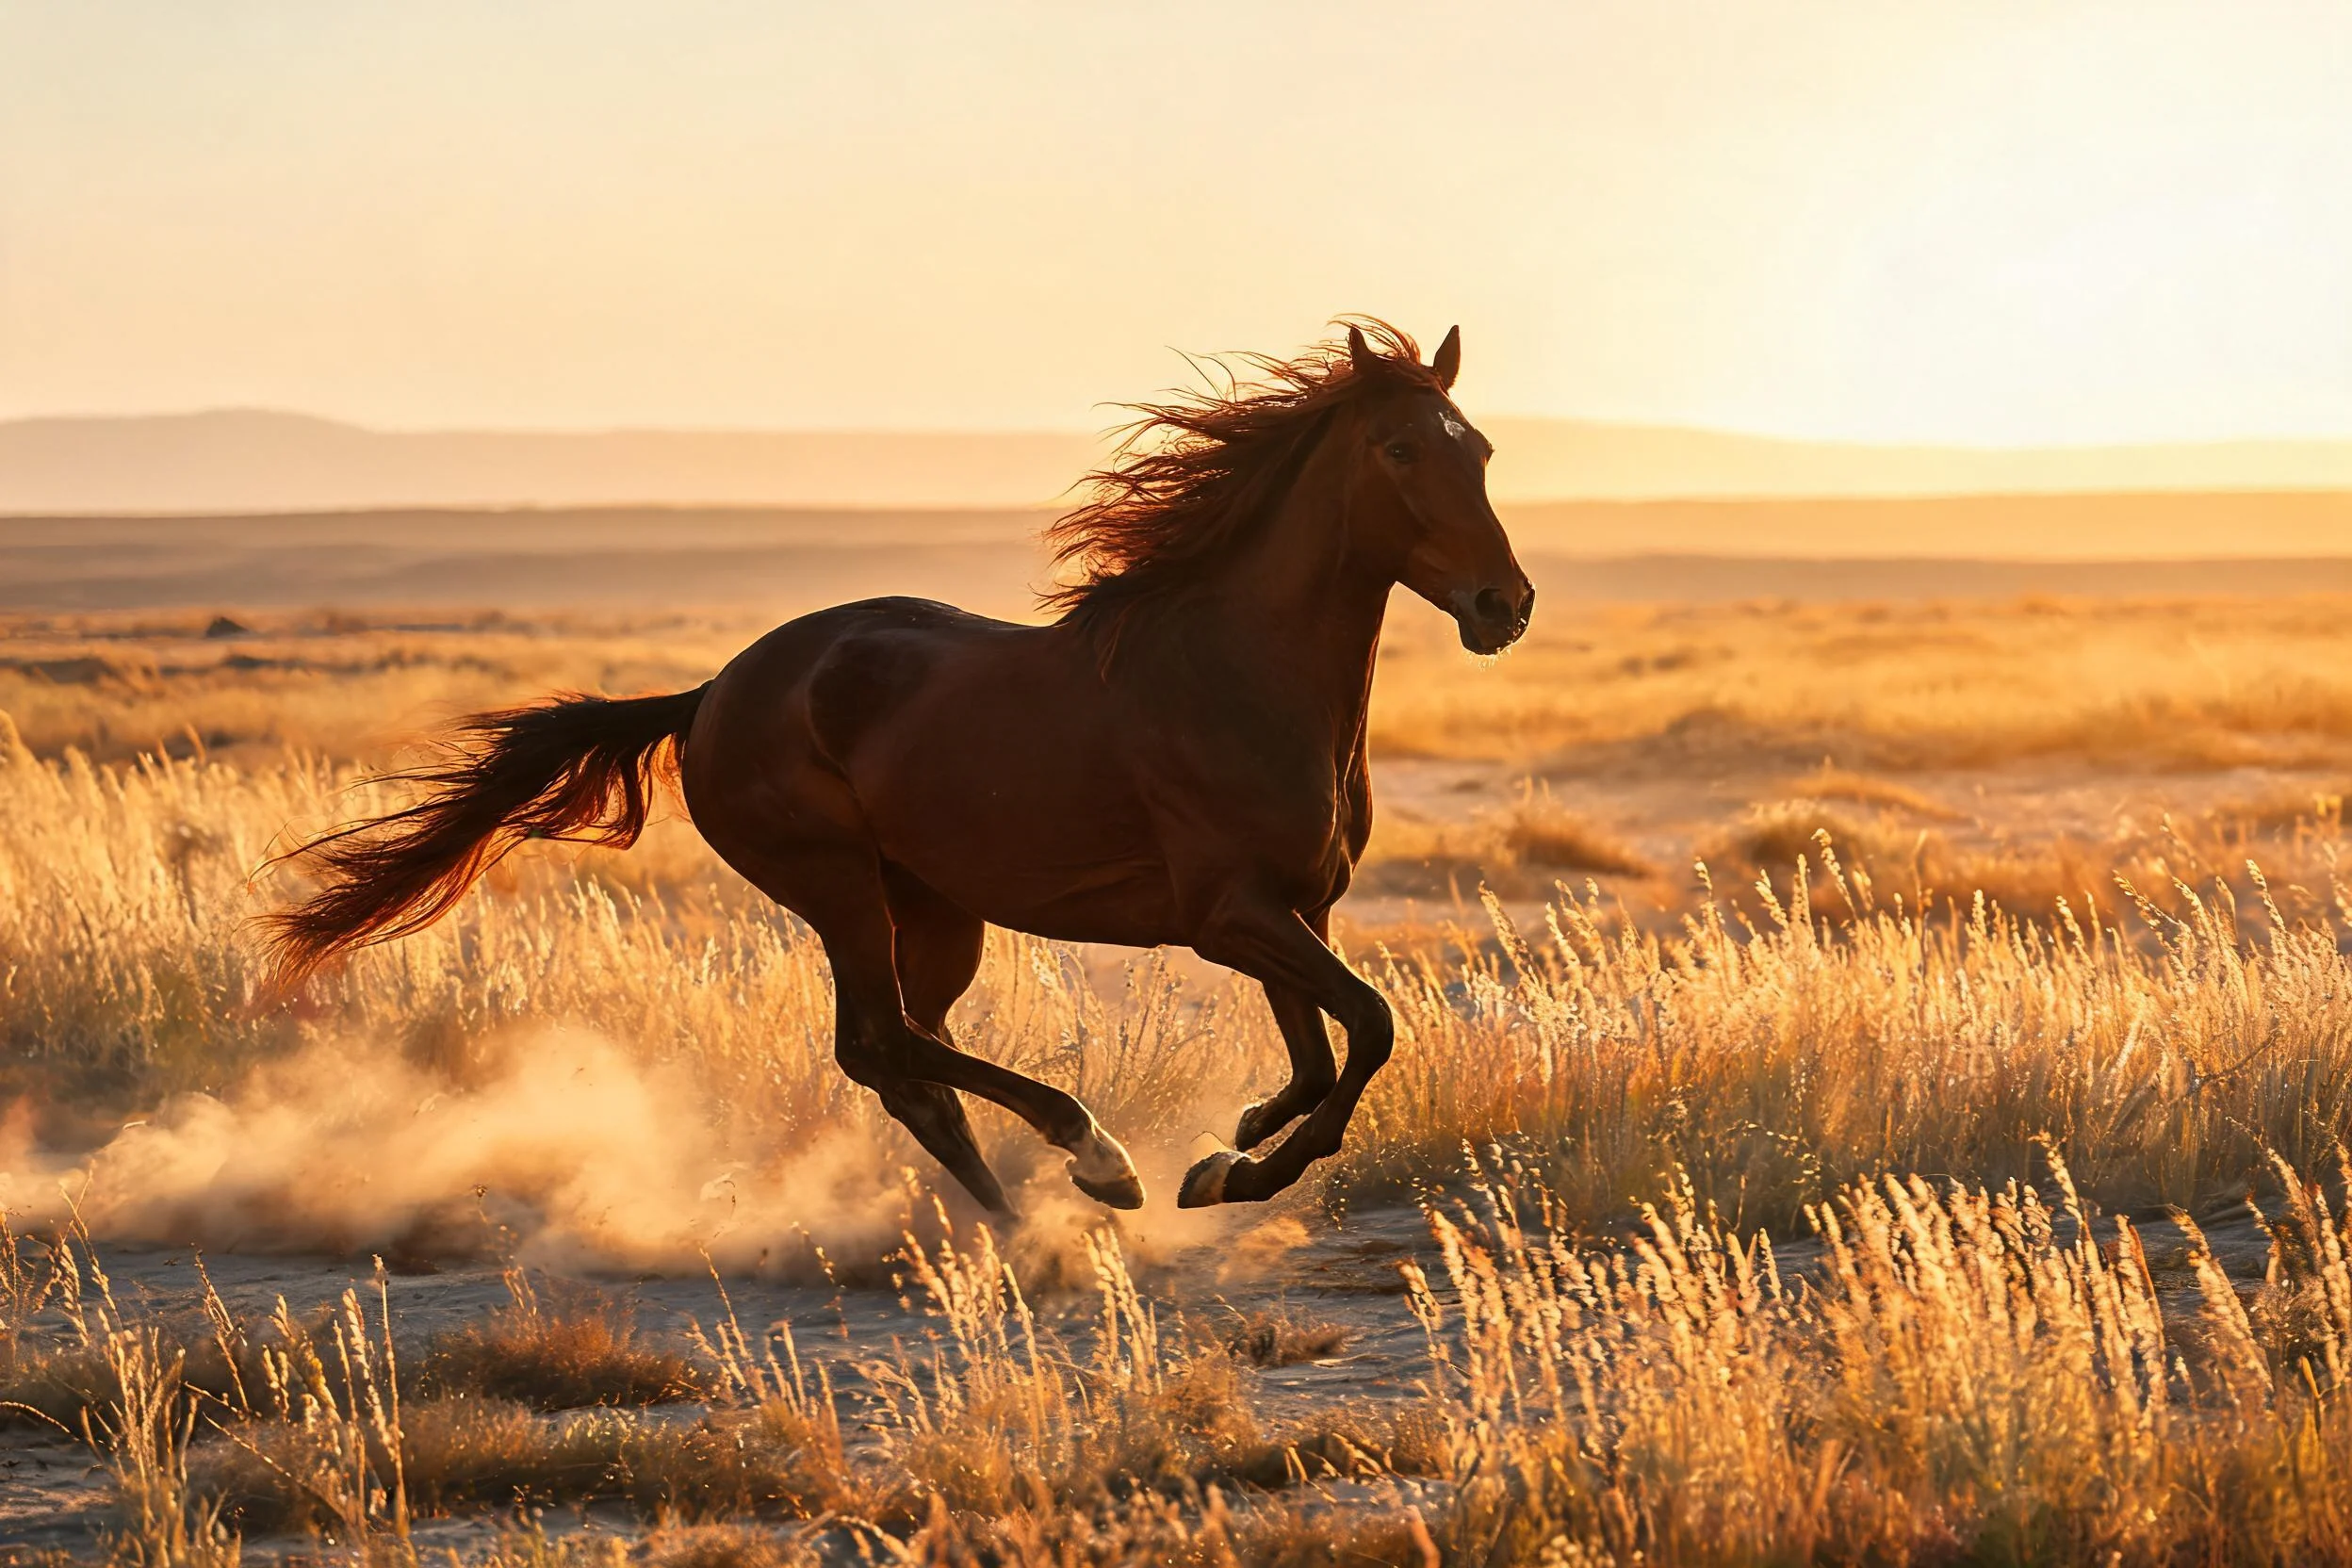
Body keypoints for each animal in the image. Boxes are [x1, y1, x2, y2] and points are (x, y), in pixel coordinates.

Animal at [264, 319, 1534, 1216]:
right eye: (1401, 447)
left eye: (1483, 449)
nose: (1503, 605)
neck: (1234, 673)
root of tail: (712, 694)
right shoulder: (1233, 915)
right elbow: (1371, 1027)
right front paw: (1228, 1168)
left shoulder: (1293, 911)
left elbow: (1321, 1059)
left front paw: (1231, 1149)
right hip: (835, 884)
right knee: (881, 1040)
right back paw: (1090, 1161)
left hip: (931, 907)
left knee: (905, 1053)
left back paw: (1018, 1212)